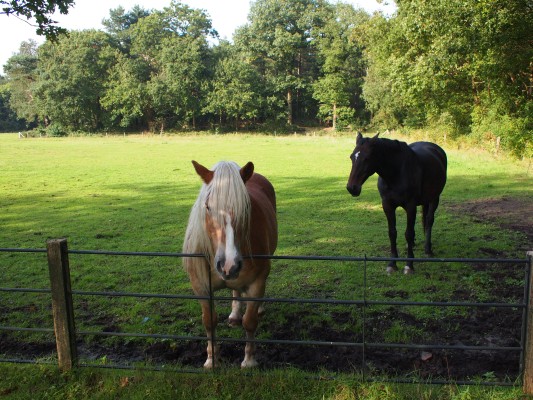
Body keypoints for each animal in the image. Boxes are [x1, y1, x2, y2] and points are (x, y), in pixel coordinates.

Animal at [183, 161, 276, 368]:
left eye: (246, 207)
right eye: (208, 207)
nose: (229, 264)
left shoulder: (257, 283)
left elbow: (250, 322)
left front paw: (249, 360)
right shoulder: (201, 287)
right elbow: (209, 321)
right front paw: (212, 359)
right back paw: (234, 315)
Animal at [344, 133, 444, 274]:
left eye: (367, 158)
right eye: (352, 157)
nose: (352, 188)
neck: (396, 173)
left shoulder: (410, 206)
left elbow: (408, 233)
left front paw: (409, 265)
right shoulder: (387, 206)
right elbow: (392, 233)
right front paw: (392, 264)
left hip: (434, 198)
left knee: (429, 220)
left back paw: (428, 249)